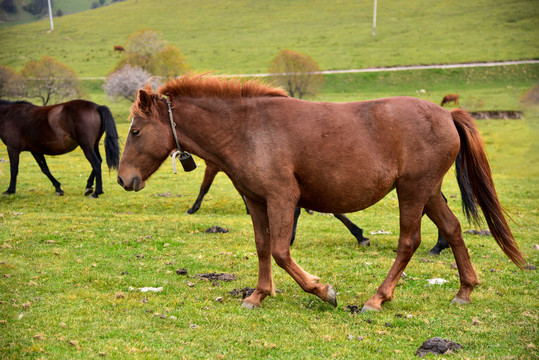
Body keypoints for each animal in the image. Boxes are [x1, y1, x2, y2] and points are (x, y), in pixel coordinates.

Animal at [117, 74, 524, 312]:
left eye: (136, 131)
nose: (122, 179)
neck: (246, 129)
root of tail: (446, 115)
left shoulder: (282, 198)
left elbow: (281, 251)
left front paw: (323, 290)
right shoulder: (257, 201)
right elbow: (263, 248)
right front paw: (258, 294)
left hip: (412, 192)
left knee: (409, 241)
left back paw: (376, 299)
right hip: (429, 192)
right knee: (453, 230)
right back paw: (465, 290)